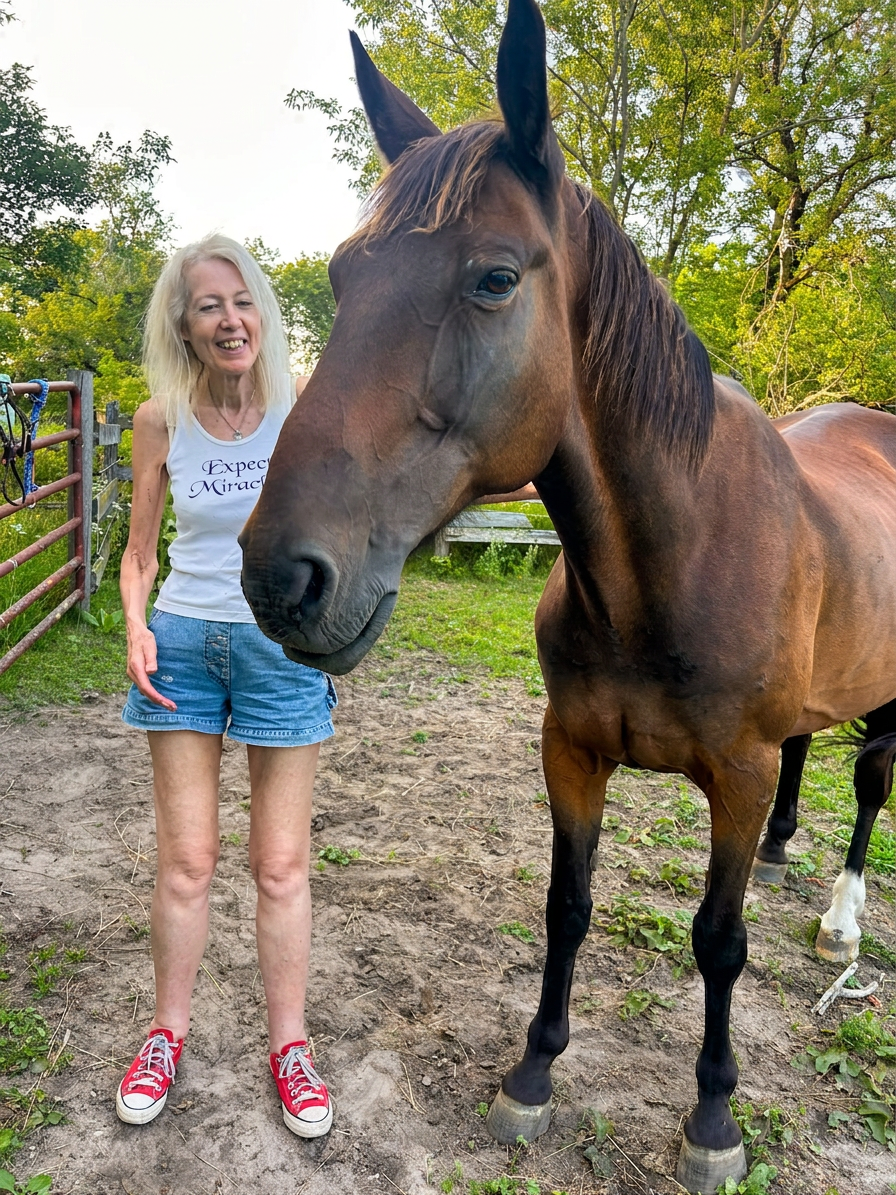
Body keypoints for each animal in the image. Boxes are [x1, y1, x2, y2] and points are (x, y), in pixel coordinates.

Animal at [239, 1, 896, 1187]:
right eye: (346, 275)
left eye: (495, 278)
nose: (282, 575)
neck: (668, 562)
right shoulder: (571, 749)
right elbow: (567, 905)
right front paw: (532, 1072)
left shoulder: (731, 778)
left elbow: (716, 941)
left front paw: (712, 1118)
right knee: (809, 758)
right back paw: (789, 853)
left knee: (868, 784)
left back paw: (841, 923)